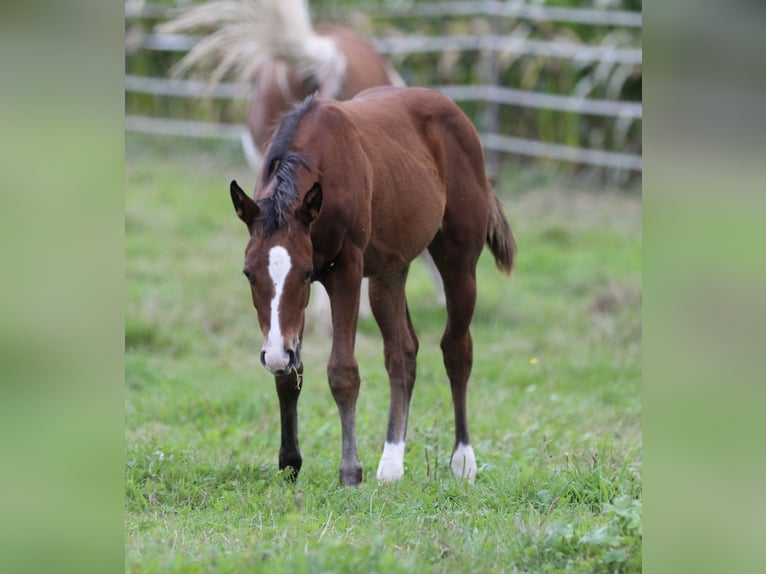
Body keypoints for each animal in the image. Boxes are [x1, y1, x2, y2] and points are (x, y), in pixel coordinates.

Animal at [229, 86, 517, 486]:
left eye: (305, 272)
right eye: (247, 273)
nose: (272, 354)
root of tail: (453, 109)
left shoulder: (346, 270)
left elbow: (342, 371)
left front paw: (350, 471)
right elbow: (290, 373)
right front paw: (289, 463)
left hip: (459, 261)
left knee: (457, 350)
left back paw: (462, 460)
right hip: (389, 272)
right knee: (402, 352)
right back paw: (392, 463)